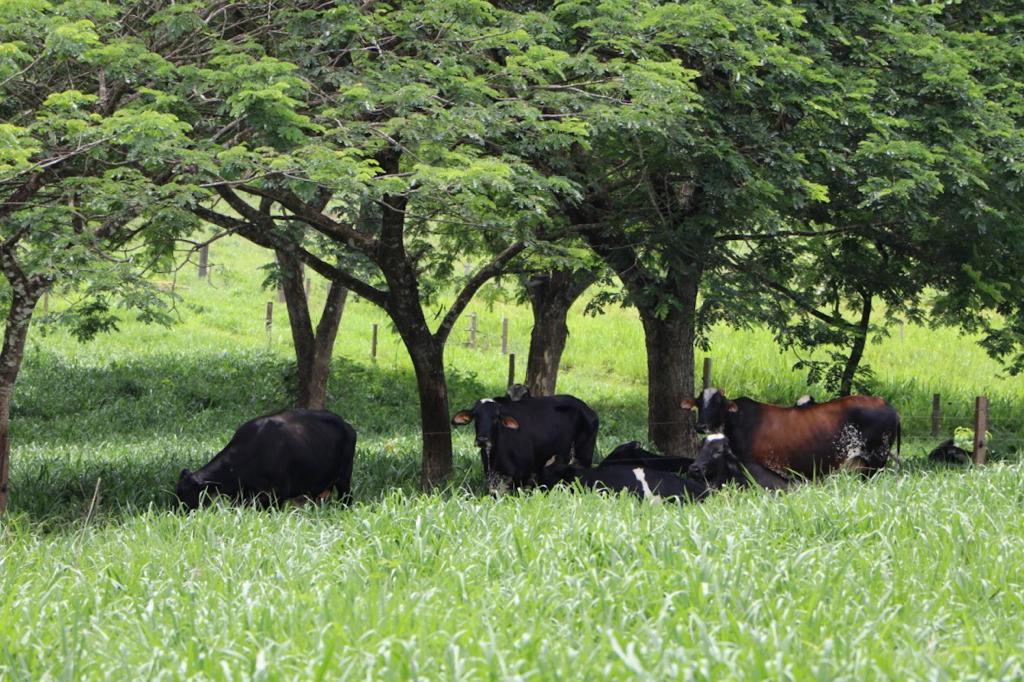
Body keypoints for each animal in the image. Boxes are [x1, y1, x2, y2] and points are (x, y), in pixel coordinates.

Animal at [174, 405, 354, 507]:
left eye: (190, 495)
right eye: (178, 494)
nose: (179, 515)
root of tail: (347, 425)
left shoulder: (278, 494)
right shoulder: (242, 497)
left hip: (344, 479)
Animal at [450, 393, 598, 489]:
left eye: (496, 417)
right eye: (476, 416)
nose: (482, 439)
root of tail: (589, 410)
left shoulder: (522, 476)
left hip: (583, 457)